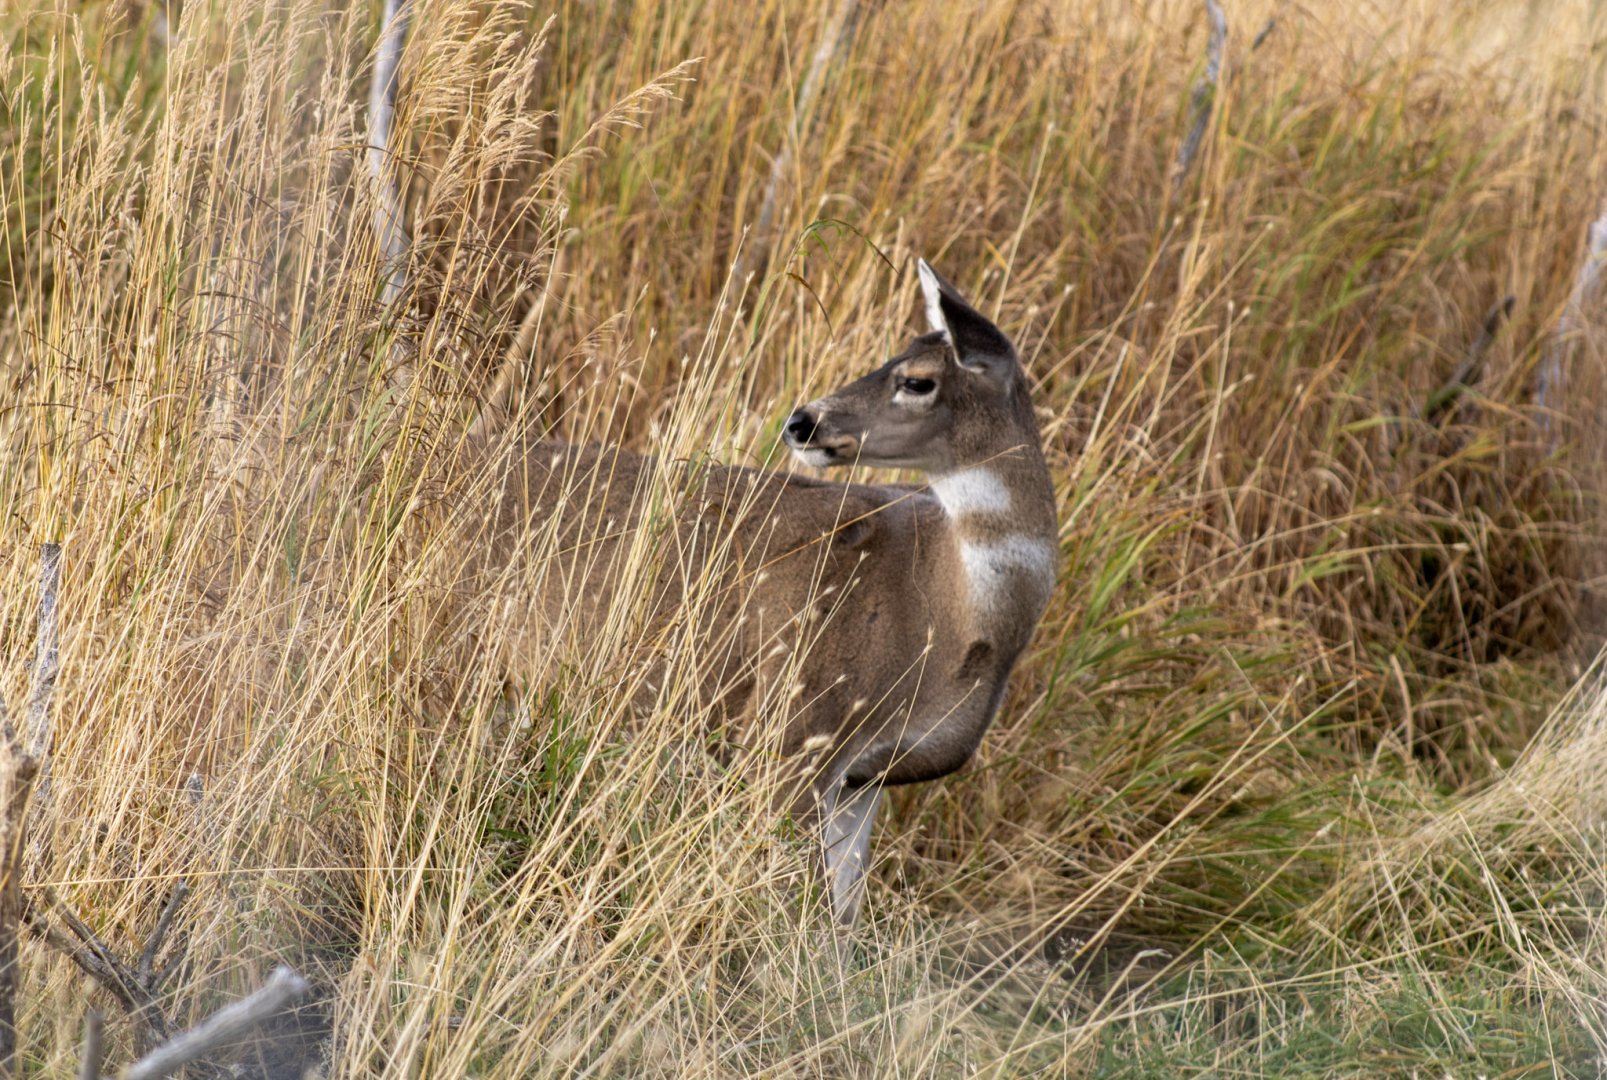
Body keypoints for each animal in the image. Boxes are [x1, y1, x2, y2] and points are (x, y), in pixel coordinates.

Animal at [492, 260, 1058, 925]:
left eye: (917, 380)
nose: (802, 421)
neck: (947, 614)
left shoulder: (866, 775)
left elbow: (842, 919)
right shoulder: (792, 726)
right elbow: (797, 909)